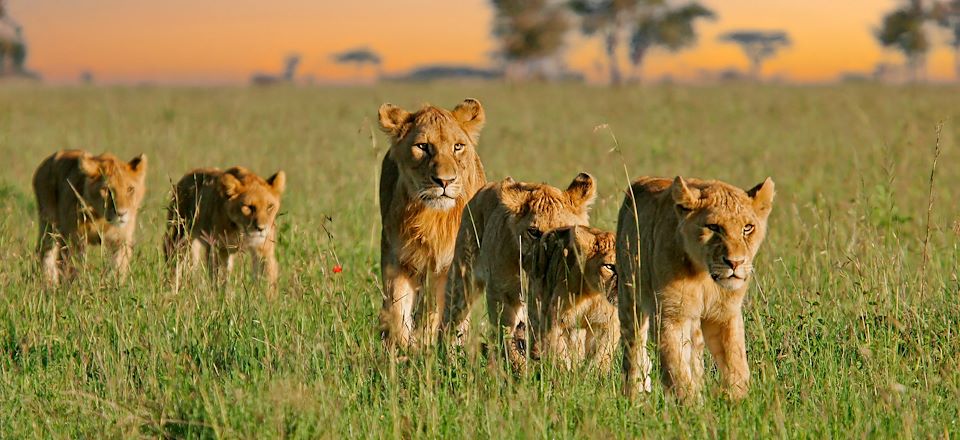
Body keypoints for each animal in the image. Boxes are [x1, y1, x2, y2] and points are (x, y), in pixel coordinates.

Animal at [33, 150, 148, 284]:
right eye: (107, 190)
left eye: (130, 189)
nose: (121, 213)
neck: (101, 218)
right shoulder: (74, 240)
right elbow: (73, 266)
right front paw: (75, 285)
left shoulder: (121, 240)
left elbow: (117, 266)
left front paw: (112, 285)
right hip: (50, 226)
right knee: (47, 253)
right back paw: (50, 283)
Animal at [376, 97, 488, 350]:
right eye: (422, 147)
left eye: (458, 146)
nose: (444, 181)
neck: (433, 218)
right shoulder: (397, 260)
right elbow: (397, 309)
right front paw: (402, 348)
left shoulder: (454, 266)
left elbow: (440, 310)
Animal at [440, 173, 592, 372]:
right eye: (534, 232)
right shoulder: (501, 294)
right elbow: (505, 334)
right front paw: (519, 367)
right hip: (461, 280)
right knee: (451, 323)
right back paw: (448, 363)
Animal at [528, 225, 620, 372]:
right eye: (609, 266)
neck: (592, 293)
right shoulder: (555, 321)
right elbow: (560, 354)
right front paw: (566, 374)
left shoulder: (607, 324)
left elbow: (601, 357)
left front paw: (592, 375)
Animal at [620, 175, 776, 402]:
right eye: (714, 227)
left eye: (747, 228)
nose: (735, 262)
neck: (704, 275)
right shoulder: (671, 315)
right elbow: (676, 368)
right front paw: (691, 407)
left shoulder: (725, 313)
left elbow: (736, 362)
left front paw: (738, 402)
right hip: (629, 299)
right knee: (634, 350)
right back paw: (634, 397)